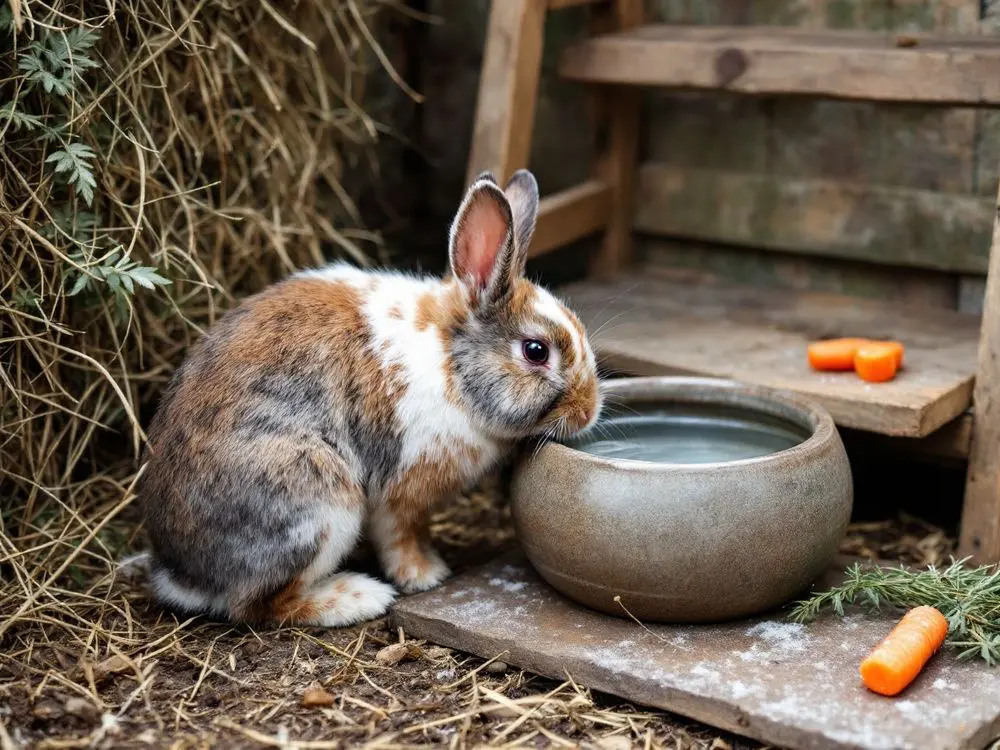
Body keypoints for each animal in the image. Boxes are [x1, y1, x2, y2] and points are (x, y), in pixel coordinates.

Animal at [136, 169, 603, 627]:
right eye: (536, 351)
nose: (587, 412)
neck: (449, 364)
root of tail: (183, 575)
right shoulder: (402, 490)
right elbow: (401, 536)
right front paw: (424, 574)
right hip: (319, 503)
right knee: (261, 605)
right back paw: (358, 597)